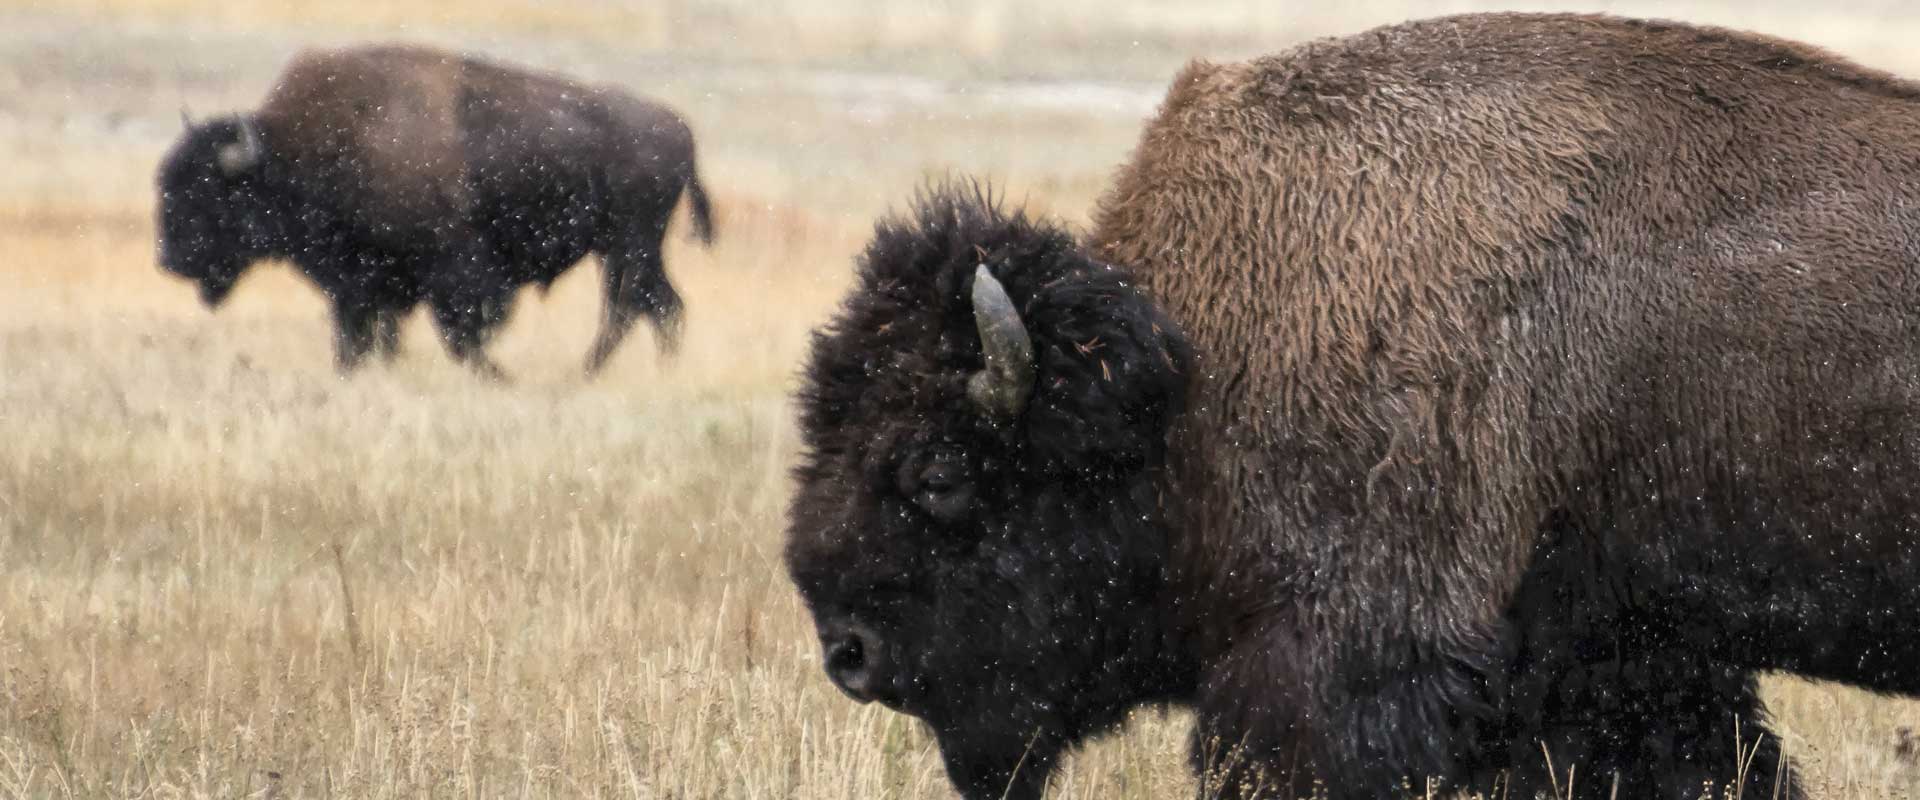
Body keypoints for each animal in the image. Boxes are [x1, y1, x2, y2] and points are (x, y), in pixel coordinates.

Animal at [155, 42, 714, 377]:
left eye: (209, 192)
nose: (171, 260)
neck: (298, 153)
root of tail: (678, 128)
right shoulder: (361, 285)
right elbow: (362, 337)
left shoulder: (456, 274)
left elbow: (460, 332)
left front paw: (496, 375)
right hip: (626, 250)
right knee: (659, 305)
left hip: (628, 247)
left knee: (633, 306)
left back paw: (588, 371)